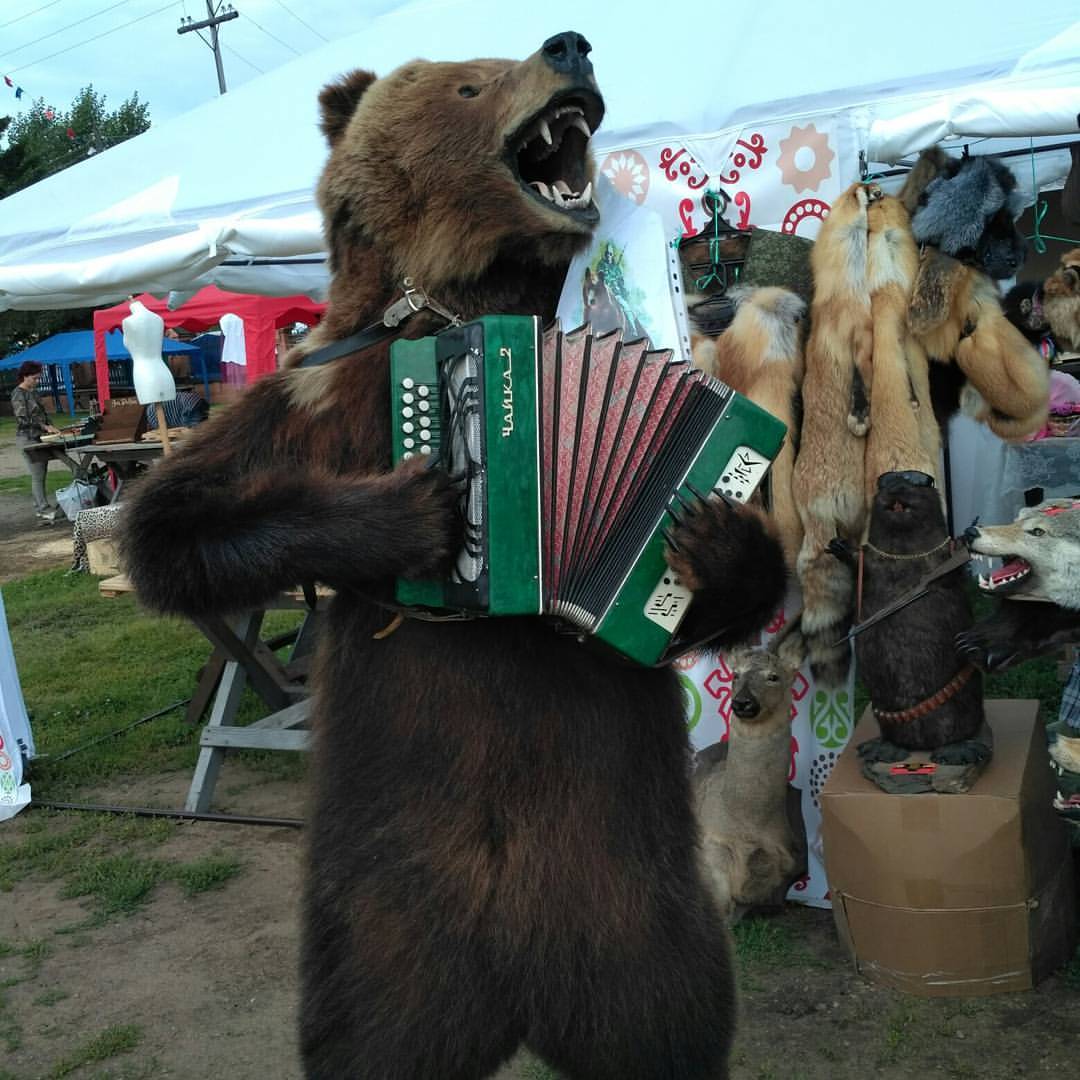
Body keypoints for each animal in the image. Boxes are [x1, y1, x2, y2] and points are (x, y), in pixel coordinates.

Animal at [122, 33, 786, 1080]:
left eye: (510, 56)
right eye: (472, 82)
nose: (570, 44)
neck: (470, 302)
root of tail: (516, 1000)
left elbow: (771, 566)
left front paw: (712, 538)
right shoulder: (324, 386)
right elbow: (175, 520)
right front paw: (415, 517)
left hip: (639, 904)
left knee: (665, 1020)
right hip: (377, 912)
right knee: (370, 1030)